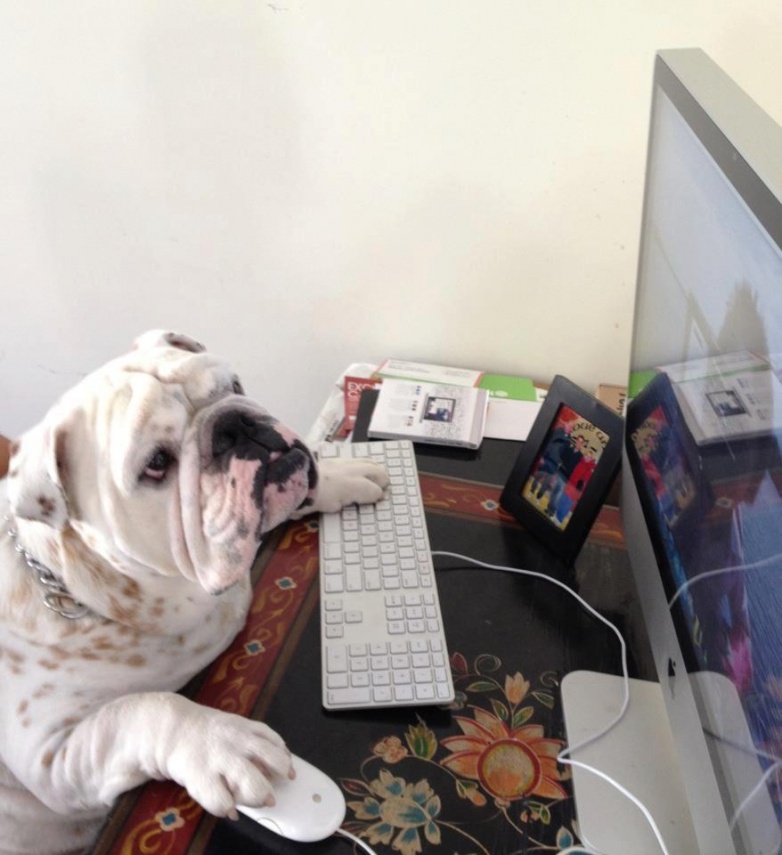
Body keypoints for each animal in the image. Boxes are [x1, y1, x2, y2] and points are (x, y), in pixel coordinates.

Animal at [0, 330, 389, 854]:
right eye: (156, 464)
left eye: (233, 385)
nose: (236, 425)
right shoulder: (52, 754)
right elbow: (142, 709)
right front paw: (221, 742)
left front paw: (338, 476)